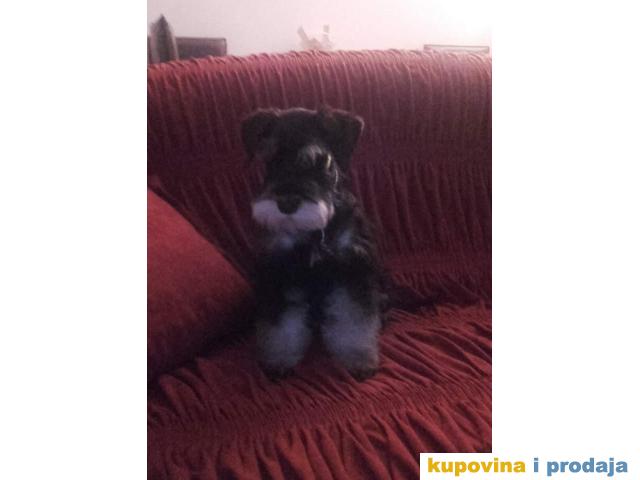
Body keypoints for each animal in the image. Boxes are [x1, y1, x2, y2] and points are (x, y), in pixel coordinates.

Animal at [242, 107, 385, 381]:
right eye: (270, 160)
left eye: (319, 162)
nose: (286, 204)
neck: (313, 234)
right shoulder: (280, 273)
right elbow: (281, 323)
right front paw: (279, 359)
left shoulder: (352, 269)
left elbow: (354, 317)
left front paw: (359, 358)